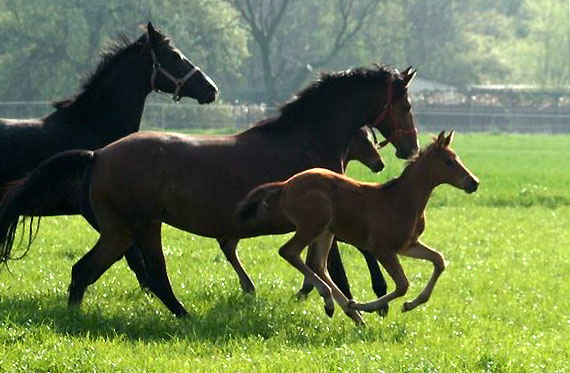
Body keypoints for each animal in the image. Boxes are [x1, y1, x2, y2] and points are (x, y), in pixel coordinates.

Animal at [0, 64, 418, 322]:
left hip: (121, 232)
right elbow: (336, 272)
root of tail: (98, 155)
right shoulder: (320, 224)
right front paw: (357, 308)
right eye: (406, 104)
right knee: (149, 275)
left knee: (87, 271)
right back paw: (184, 317)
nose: (410, 147)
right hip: (140, 228)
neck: (306, 138)